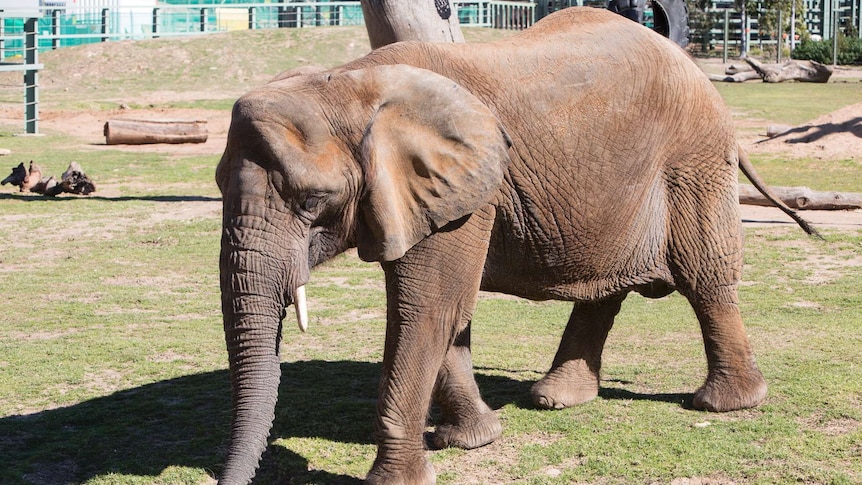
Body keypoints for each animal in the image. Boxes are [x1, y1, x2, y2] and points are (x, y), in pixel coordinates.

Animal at [216, 7, 816, 484]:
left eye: (312, 201)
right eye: (218, 184)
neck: (351, 82)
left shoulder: (464, 194)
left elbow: (426, 308)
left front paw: (400, 479)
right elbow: (446, 311)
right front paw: (472, 440)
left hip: (693, 158)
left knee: (704, 277)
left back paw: (723, 404)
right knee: (608, 287)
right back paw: (556, 399)